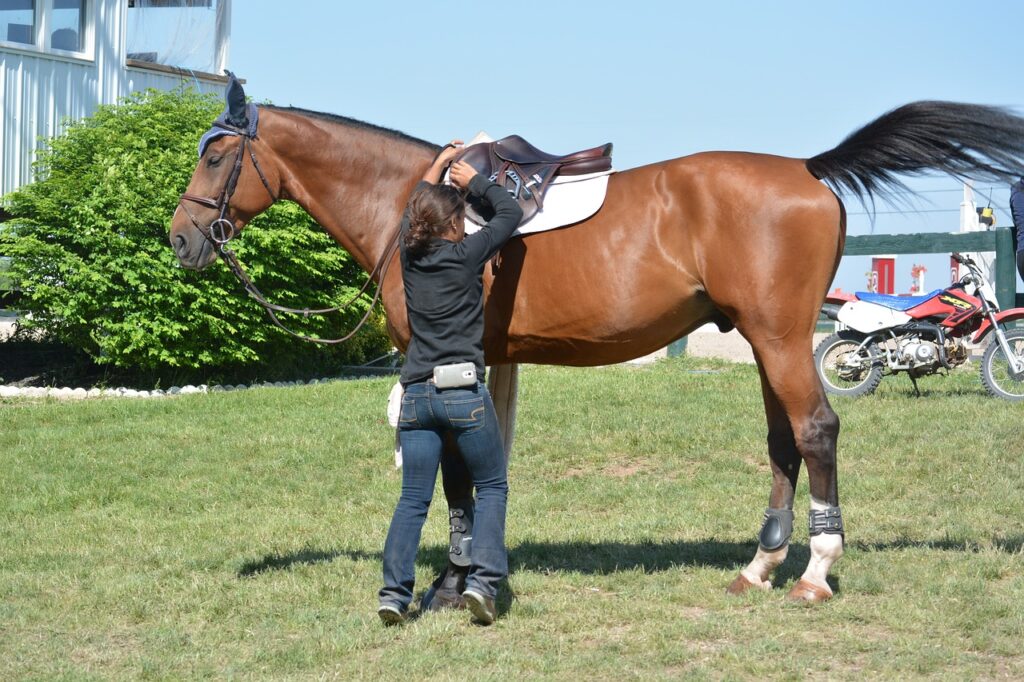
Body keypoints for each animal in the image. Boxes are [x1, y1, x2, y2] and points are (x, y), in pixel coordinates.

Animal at [172, 84, 1024, 602]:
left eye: (214, 154)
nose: (181, 239)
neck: (413, 202)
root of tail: (808, 170)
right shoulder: (489, 362)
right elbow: (481, 467)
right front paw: (474, 573)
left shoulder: (441, 364)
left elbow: (454, 472)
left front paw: (454, 584)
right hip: (764, 340)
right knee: (784, 439)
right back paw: (758, 566)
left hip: (782, 339)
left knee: (816, 430)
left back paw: (815, 571)